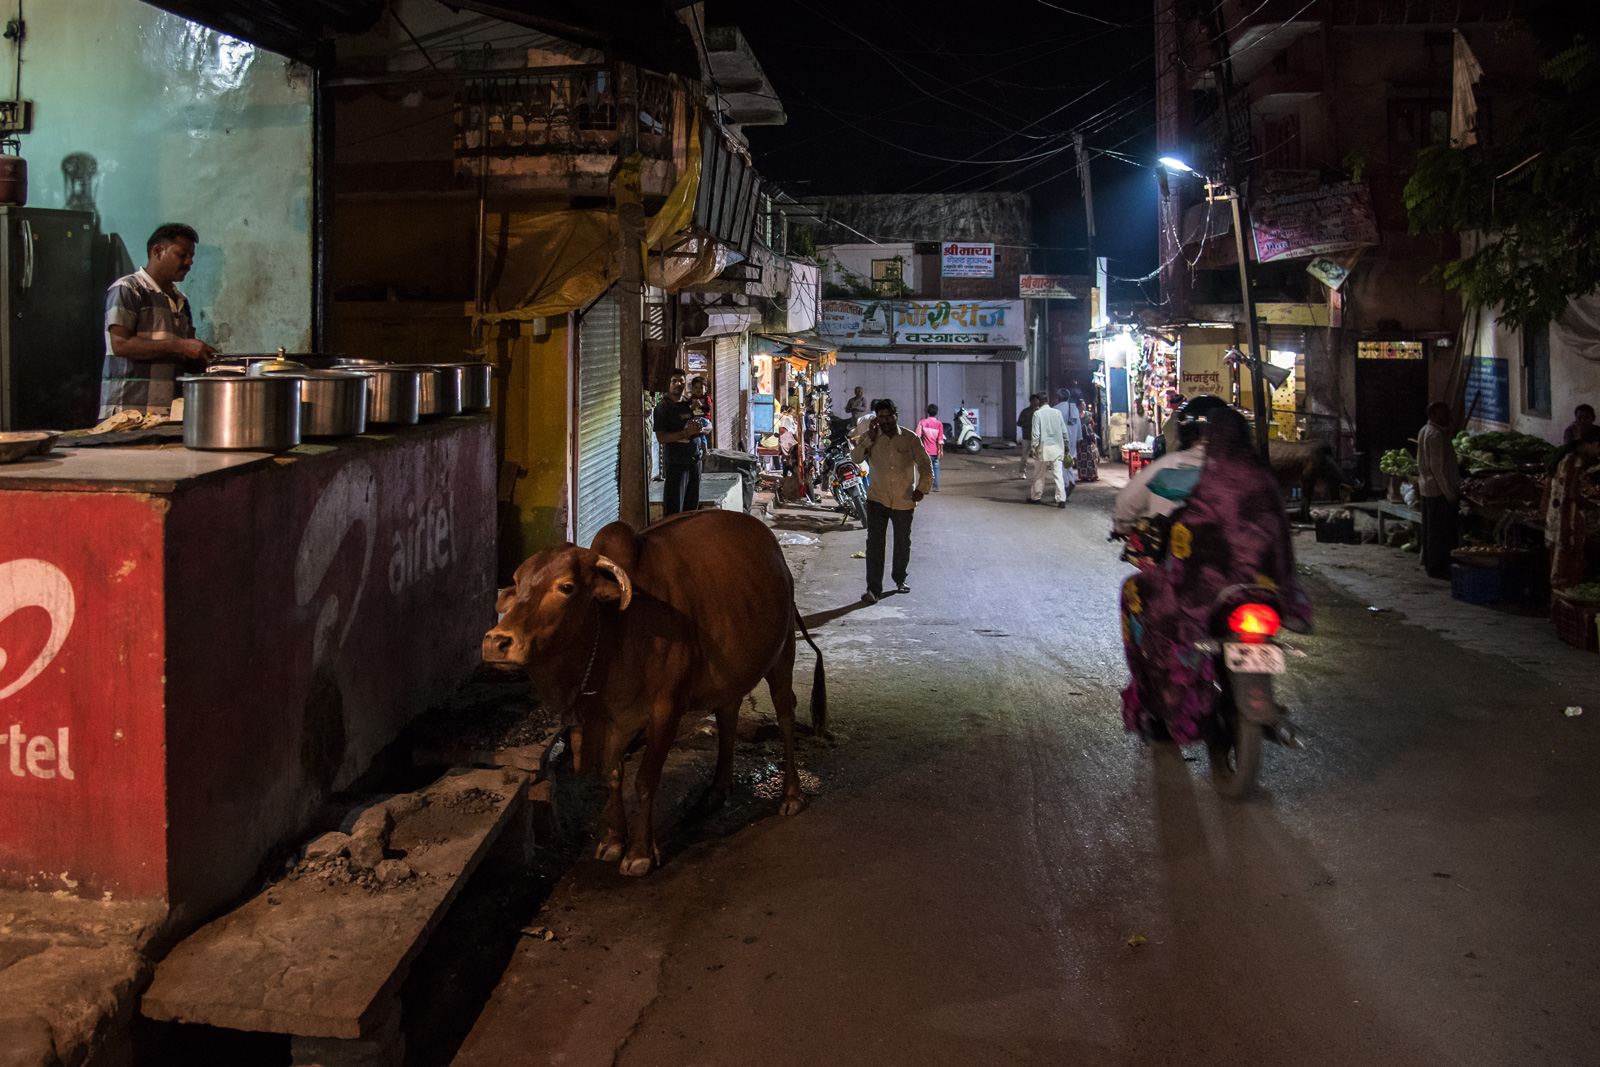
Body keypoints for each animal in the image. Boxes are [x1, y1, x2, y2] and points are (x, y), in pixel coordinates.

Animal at [483, 508, 825, 876]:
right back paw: (717, 790)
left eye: (566, 587)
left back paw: (790, 794)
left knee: (786, 713)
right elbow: (613, 775)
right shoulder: (606, 719)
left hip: (783, 652)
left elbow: (645, 780)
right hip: (731, 674)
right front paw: (612, 840)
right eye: (516, 584)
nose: (496, 641)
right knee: (728, 717)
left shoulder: (667, 708)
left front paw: (639, 852)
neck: (611, 632)